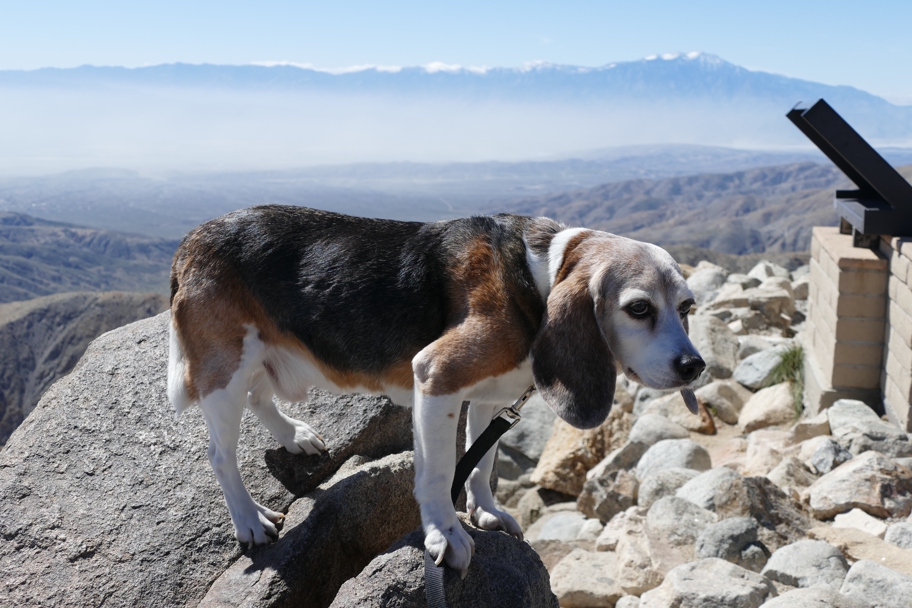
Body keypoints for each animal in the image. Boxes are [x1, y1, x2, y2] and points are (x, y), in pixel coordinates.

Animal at [166, 204, 704, 576]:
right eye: (638, 308)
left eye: (687, 307)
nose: (694, 366)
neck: (535, 278)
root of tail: (192, 239)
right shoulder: (437, 375)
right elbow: (440, 471)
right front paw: (446, 535)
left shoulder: (489, 398)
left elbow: (481, 464)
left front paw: (485, 512)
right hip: (225, 368)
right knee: (220, 454)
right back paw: (249, 520)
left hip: (257, 359)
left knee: (260, 397)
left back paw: (294, 436)